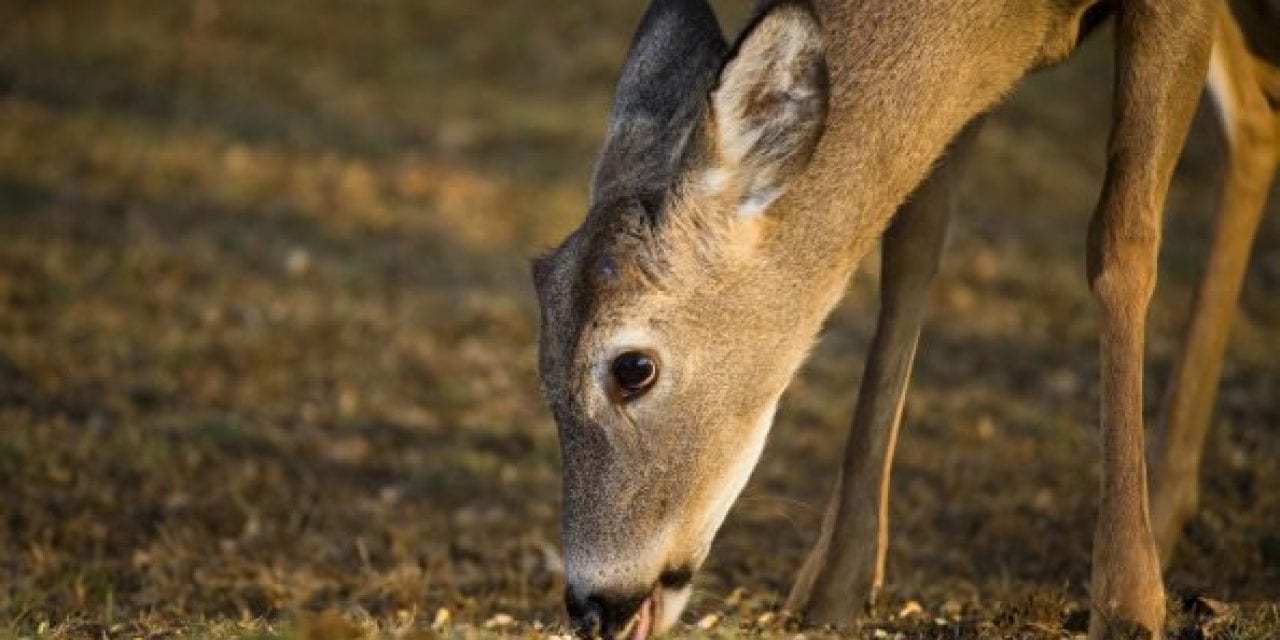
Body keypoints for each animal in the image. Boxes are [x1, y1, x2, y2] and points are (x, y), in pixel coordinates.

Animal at [529, 0, 1280, 637]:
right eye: (543, 374)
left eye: (634, 368)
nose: (595, 605)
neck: (1019, 21)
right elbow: (913, 246)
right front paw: (833, 586)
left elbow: (1121, 238)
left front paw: (1127, 602)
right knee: (1257, 117)